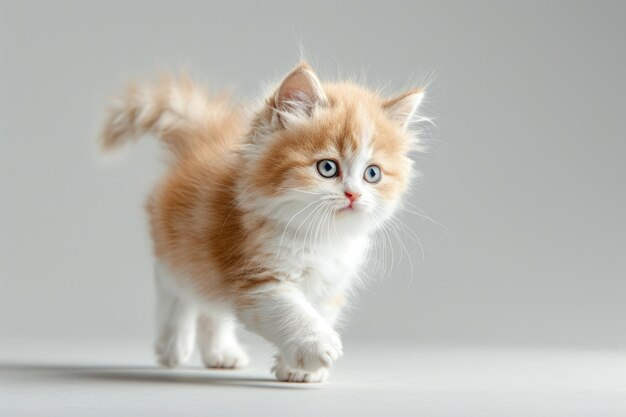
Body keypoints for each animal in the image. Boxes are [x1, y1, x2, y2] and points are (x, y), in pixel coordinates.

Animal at [100, 60, 424, 382]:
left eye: (373, 174)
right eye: (327, 168)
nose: (354, 194)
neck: (319, 238)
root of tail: (202, 142)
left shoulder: (330, 285)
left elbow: (319, 312)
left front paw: (297, 369)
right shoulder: (257, 277)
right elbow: (293, 311)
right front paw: (317, 344)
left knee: (211, 304)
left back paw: (221, 353)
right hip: (180, 246)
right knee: (173, 285)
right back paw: (172, 344)